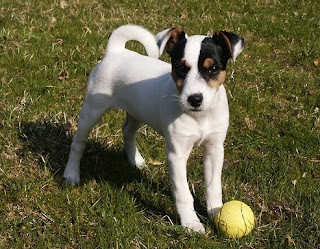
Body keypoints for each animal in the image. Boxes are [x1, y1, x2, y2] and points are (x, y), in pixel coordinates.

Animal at [63, 24, 245, 232]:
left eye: (214, 68)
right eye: (180, 68)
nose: (194, 99)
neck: (199, 117)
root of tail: (116, 51)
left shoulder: (214, 149)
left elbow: (213, 187)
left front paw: (216, 213)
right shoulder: (176, 154)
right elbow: (182, 192)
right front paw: (191, 223)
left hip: (137, 111)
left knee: (127, 131)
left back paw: (136, 160)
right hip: (92, 109)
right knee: (78, 143)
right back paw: (71, 174)